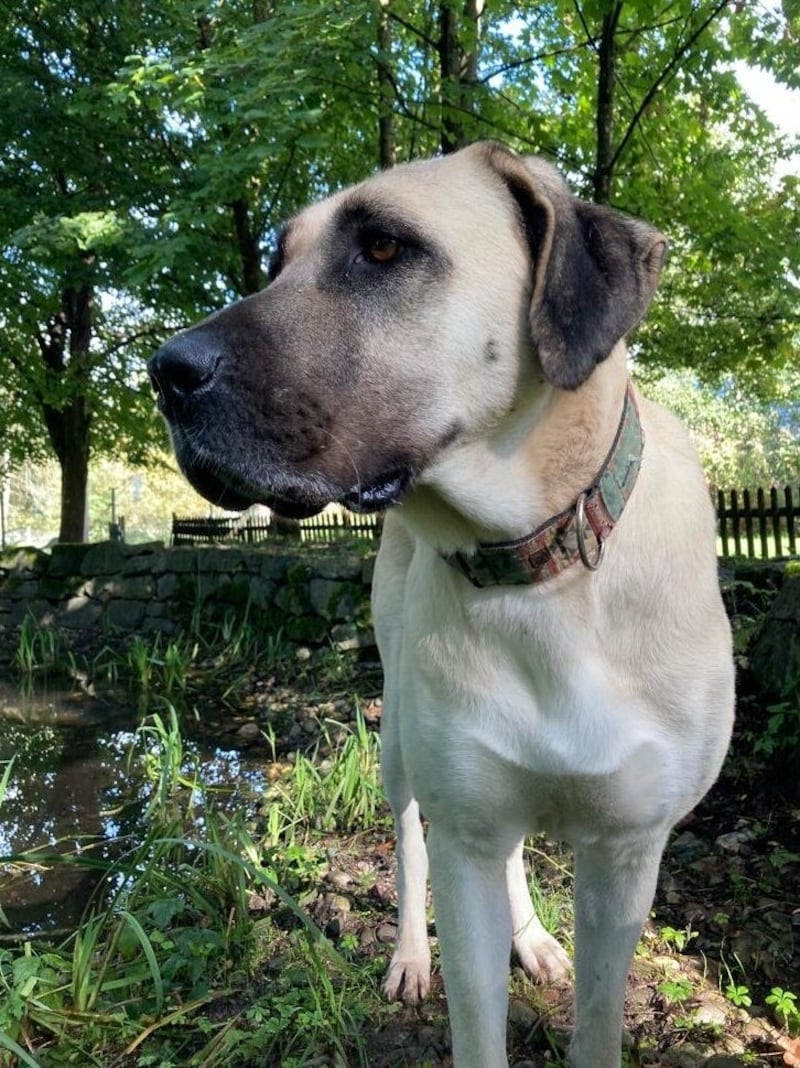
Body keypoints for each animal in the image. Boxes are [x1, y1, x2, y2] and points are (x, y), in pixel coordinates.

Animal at [146, 144, 734, 1068]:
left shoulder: (628, 852)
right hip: (400, 740)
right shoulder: (464, 826)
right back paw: (409, 959)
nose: (165, 372)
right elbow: (472, 1003)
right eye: (277, 264)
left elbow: (599, 1017)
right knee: (411, 835)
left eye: (384, 248)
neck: (539, 570)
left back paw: (531, 938)